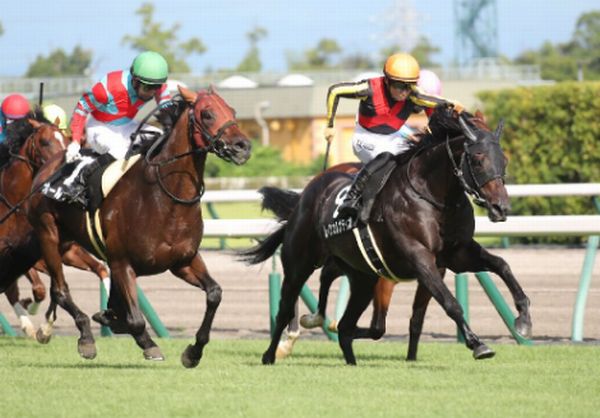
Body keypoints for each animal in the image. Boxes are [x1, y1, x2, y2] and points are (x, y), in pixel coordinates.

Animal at [25, 86, 251, 368]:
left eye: (232, 111)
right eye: (207, 114)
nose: (243, 146)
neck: (164, 198)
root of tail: (46, 168)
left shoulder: (183, 261)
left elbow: (214, 293)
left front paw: (193, 351)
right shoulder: (123, 262)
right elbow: (135, 319)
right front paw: (149, 345)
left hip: (69, 243)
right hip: (49, 235)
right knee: (60, 290)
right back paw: (85, 337)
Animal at [246, 108, 532, 366]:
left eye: (504, 160)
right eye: (478, 159)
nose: (501, 208)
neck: (434, 197)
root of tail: (305, 195)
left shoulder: (456, 254)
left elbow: (501, 265)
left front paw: (524, 318)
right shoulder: (419, 257)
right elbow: (450, 303)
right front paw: (477, 344)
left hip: (362, 277)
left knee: (346, 324)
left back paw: (349, 359)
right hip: (300, 263)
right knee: (286, 308)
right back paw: (272, 353)